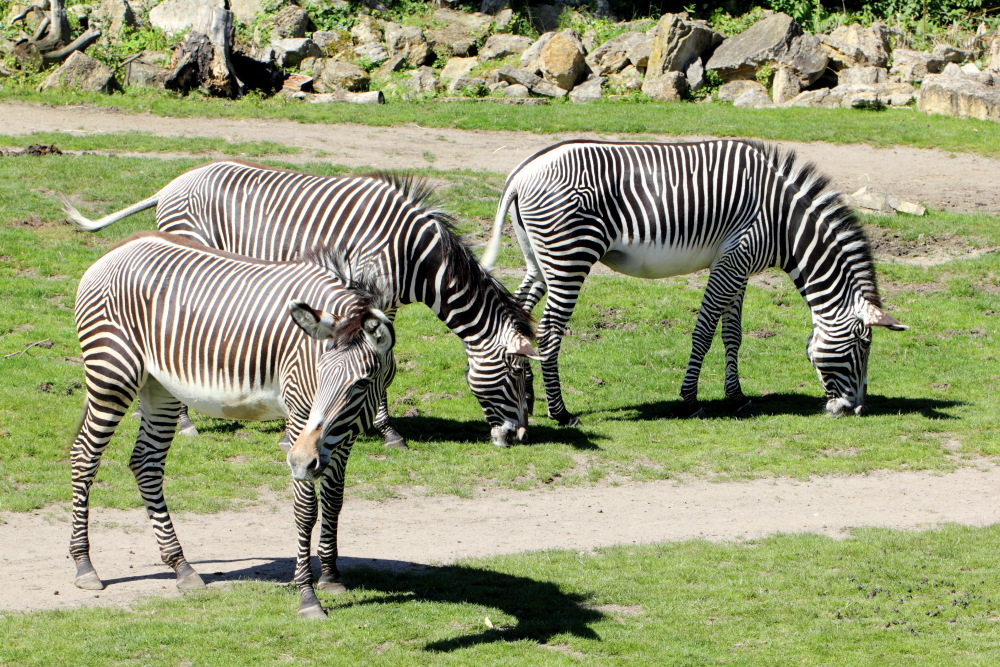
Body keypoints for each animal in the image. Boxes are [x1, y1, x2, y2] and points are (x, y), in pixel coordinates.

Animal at [62, 162, 539, 448]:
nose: (516, 437)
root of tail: (173, 183)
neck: (416, 257)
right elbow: (386, 364)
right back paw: (184, 423)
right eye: (518, 374)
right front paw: (387, 430)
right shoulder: (375, 294)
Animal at [71, 232, 395, 618]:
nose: (301, 461)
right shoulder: (300, 420)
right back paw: (84, 565)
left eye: (361, 383)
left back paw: (181, 567)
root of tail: (118, 248)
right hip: (111, 371)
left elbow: (334, 500)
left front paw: (331, 576)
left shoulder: (339, 437)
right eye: (319, 373)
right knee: (84, 457)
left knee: (145, 463)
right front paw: (307, 595)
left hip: (159, 385)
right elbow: (305, 510)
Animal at [481, 139, 907, 425]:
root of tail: (522, 172)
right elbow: (704, 331)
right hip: (570, 255)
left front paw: (736, 396)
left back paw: (526, 399)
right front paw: (689, 399)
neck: (784, 222)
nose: (855, 410)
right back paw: (561, 412)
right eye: (862, 346)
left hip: (540, 259)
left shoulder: (738, 265)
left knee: (518, 313)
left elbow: (733, 333)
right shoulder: (734, 259)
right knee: (550, 330)